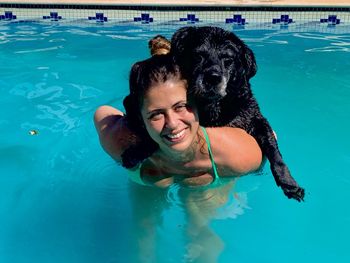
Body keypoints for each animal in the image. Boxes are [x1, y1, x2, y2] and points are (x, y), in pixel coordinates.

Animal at [171, 26, 304, 202]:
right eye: (198, 56)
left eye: (228, 59)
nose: (212, 78)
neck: (216, 106)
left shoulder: (256, 119)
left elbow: (274, 151)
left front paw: (288, 182)